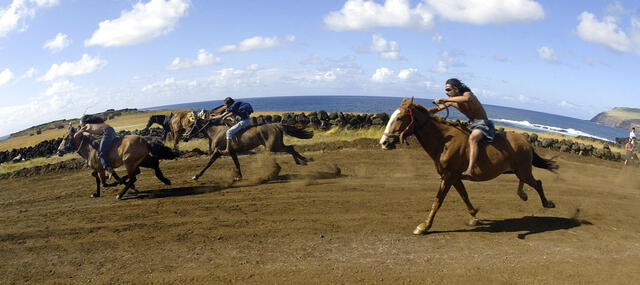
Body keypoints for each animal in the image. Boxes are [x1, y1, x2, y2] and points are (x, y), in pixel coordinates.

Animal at [182, 117, 312, 180]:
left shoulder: (220, 151)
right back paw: (302, 161)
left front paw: (196, 176)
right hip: (276, 145)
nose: (184, 137)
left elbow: (208, 163)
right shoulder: (231, 152)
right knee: (290, 148)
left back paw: (304, 161)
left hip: (273, 146)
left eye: (191, 125)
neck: (217, 131)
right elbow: (236, 163)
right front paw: (238, 176)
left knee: (290, 148)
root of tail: (277, 124)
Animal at [378, 98, 556, 234]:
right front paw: (474, 216)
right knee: (527, 181)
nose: (384, 142)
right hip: (516, 170)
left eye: (400, 118)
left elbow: (438, 201)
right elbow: (464, 196)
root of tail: (526, 141)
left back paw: (547, 203)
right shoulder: (454, 177)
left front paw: (424, 226)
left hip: (523, 170)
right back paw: (523, 194)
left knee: (537, 183)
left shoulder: (448, 177)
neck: (444, 142)